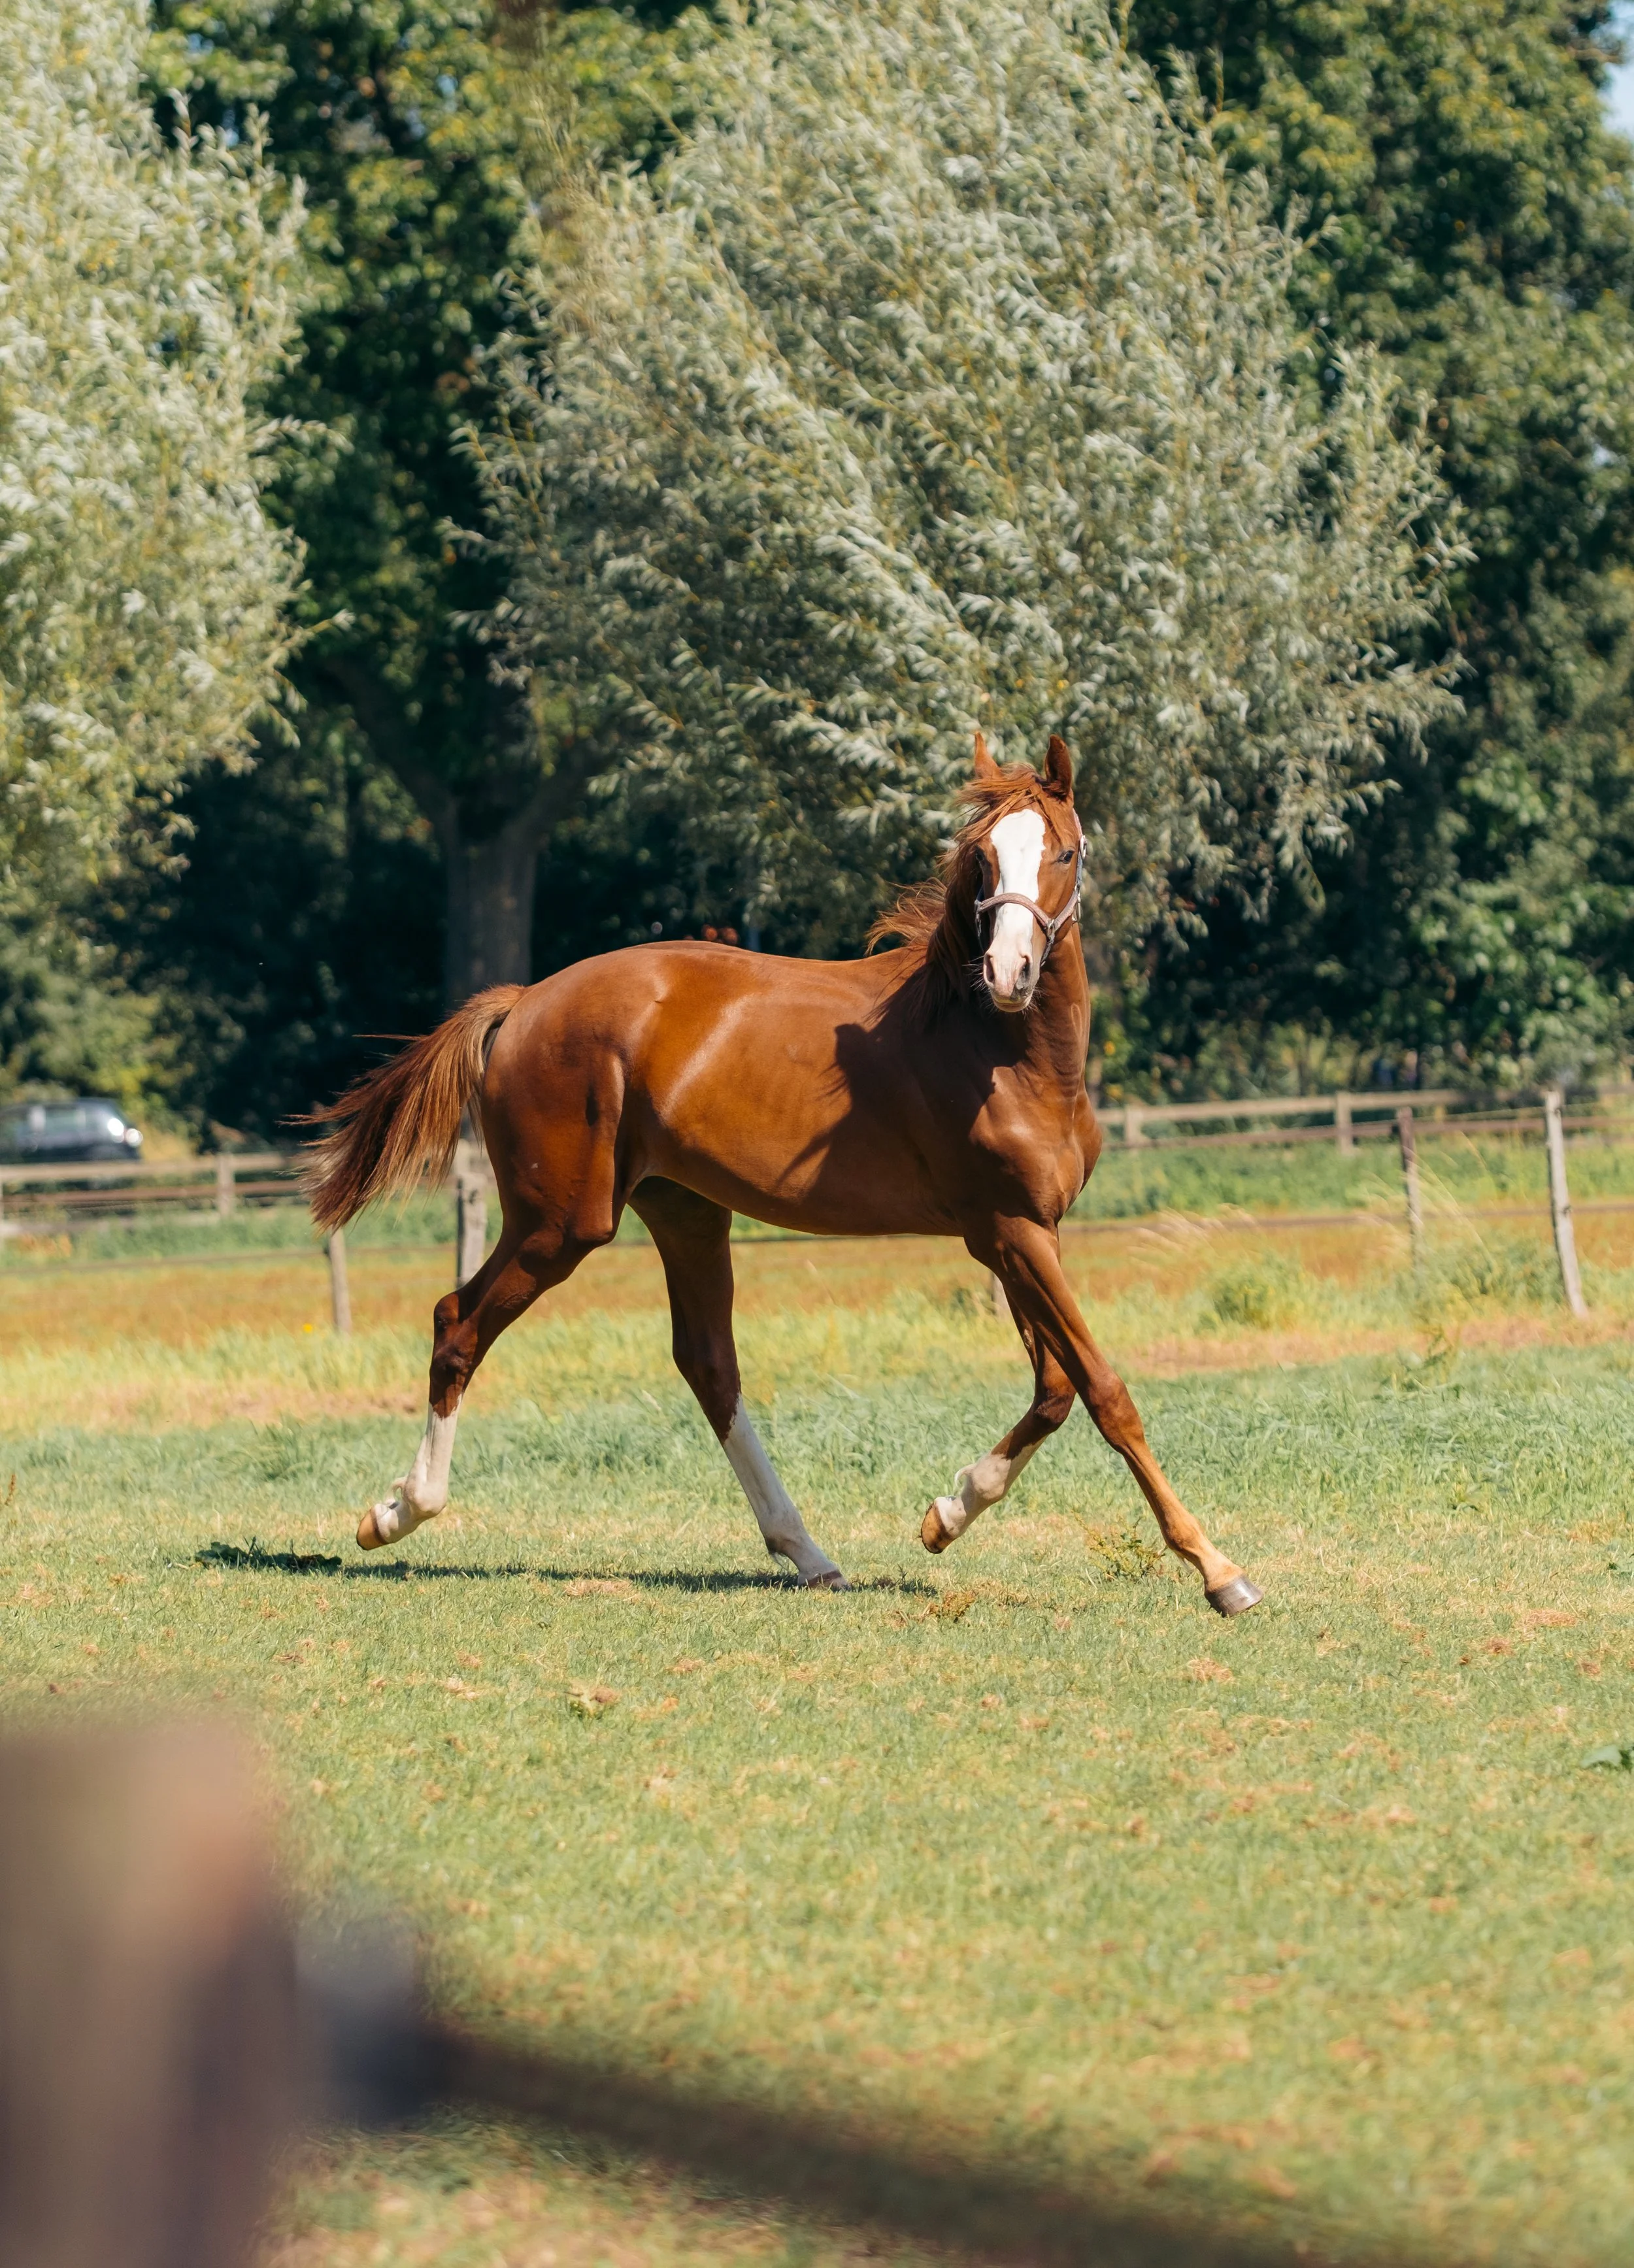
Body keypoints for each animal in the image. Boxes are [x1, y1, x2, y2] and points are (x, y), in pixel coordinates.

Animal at [305, 733, 1263, 1617]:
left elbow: (1057, 1389)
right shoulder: (1010, 1231)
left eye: (1061, 851)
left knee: (710, 1366)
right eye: (982, 856)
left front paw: (947, 1513)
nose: (1008, 973)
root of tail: (522, 1002)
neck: (1000, 1050)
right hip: (560, 1224)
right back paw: (396, 1513)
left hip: (684, 1211)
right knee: (458, 1323)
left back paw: (808, 1553)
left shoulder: (1023, 1232)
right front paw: (1219, 1571)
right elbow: (1104, 1390)